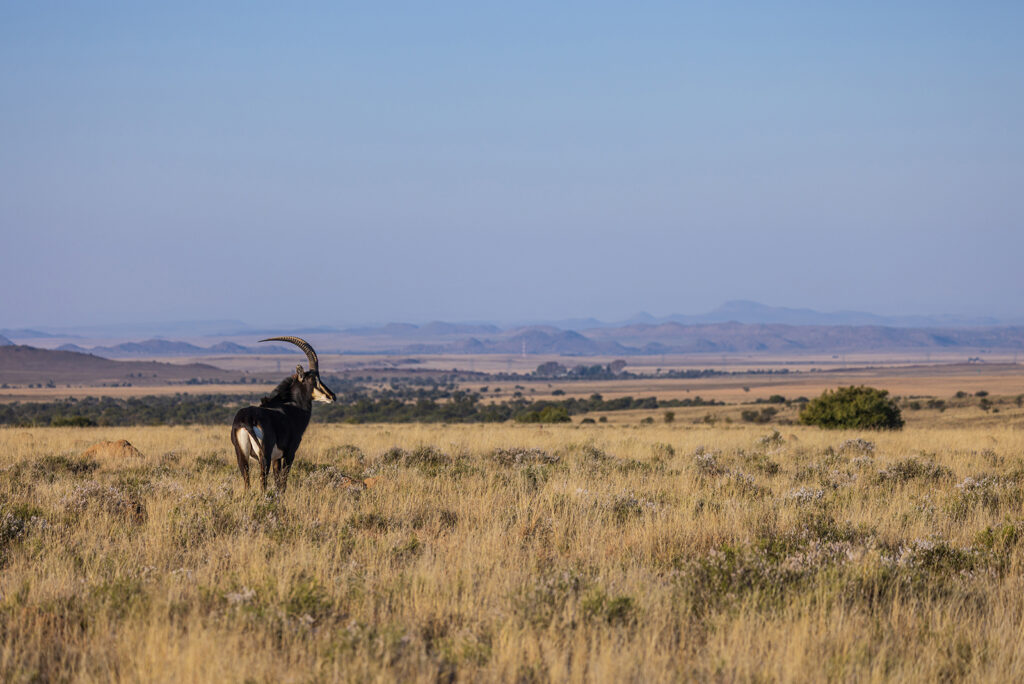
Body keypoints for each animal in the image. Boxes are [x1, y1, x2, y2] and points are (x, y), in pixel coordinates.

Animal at [230, 336, 336, 491]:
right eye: (313, 380)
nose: (332, 396)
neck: (290, 407)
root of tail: (246, 419)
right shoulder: (289, 453)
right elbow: (283, 483)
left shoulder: (276, 458)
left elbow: (277, 481)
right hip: (264, 456)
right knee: (263, 482)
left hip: (241, 456)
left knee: (247, 482)